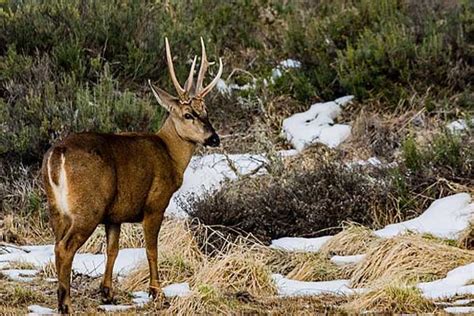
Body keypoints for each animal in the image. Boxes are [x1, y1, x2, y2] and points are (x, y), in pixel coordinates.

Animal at [41, 37, 223, 314]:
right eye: (188, 114)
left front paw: (107, 293)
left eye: (207, 111)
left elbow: (113, 249)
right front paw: (157, 293)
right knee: (65, 248)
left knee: (56, 244)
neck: (170, 154)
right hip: (88, 207)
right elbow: (151, 249)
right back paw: (66, 304)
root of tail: (57, 154)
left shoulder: (115, 215)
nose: (214, 138)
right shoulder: (155, 203)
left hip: (56, 208)